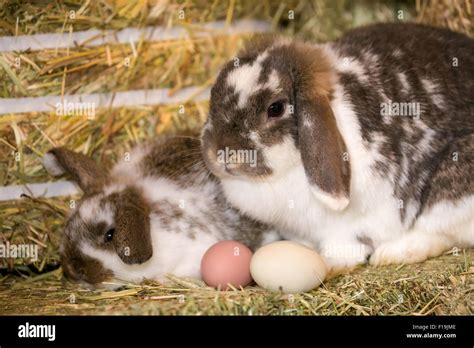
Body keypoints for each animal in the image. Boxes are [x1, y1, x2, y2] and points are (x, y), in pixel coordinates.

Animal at [201, 23, 474, 270]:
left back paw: (391, 254)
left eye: (275, 108)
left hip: (451, 192)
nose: (221, 153)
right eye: (212, 96)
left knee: (438, 234)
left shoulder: (351, 227)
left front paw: (326, 264)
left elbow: (344, 250)